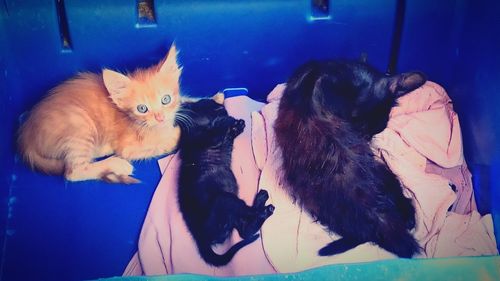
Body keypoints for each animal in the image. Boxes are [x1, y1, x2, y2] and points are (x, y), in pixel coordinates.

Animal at [18, 44, 185, 183]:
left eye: (166, 99)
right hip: (79, 125)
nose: (160, 117)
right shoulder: (128, 147)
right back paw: (117, 163)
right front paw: (175, 134)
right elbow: (161, 143)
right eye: (142, 108)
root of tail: (26, 138)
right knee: (73, 172)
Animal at [176, 95, 276, 266]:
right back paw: (263, 206)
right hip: (225, 199)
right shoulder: (206, 138)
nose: (223, 109)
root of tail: (199, 237)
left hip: (231, 215)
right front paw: (228, 121)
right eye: (213, 106)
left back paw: (263, 205)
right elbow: (216, 131)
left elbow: (228, 133)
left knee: (245, 231)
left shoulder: (223, 139)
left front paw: (238, 125)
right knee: (247, 220)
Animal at [274, 60, 426, 258]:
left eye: (370, 132)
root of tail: (378, 218)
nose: (364, 140)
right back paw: (409, 219)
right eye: (362, 131)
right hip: (383, 171)